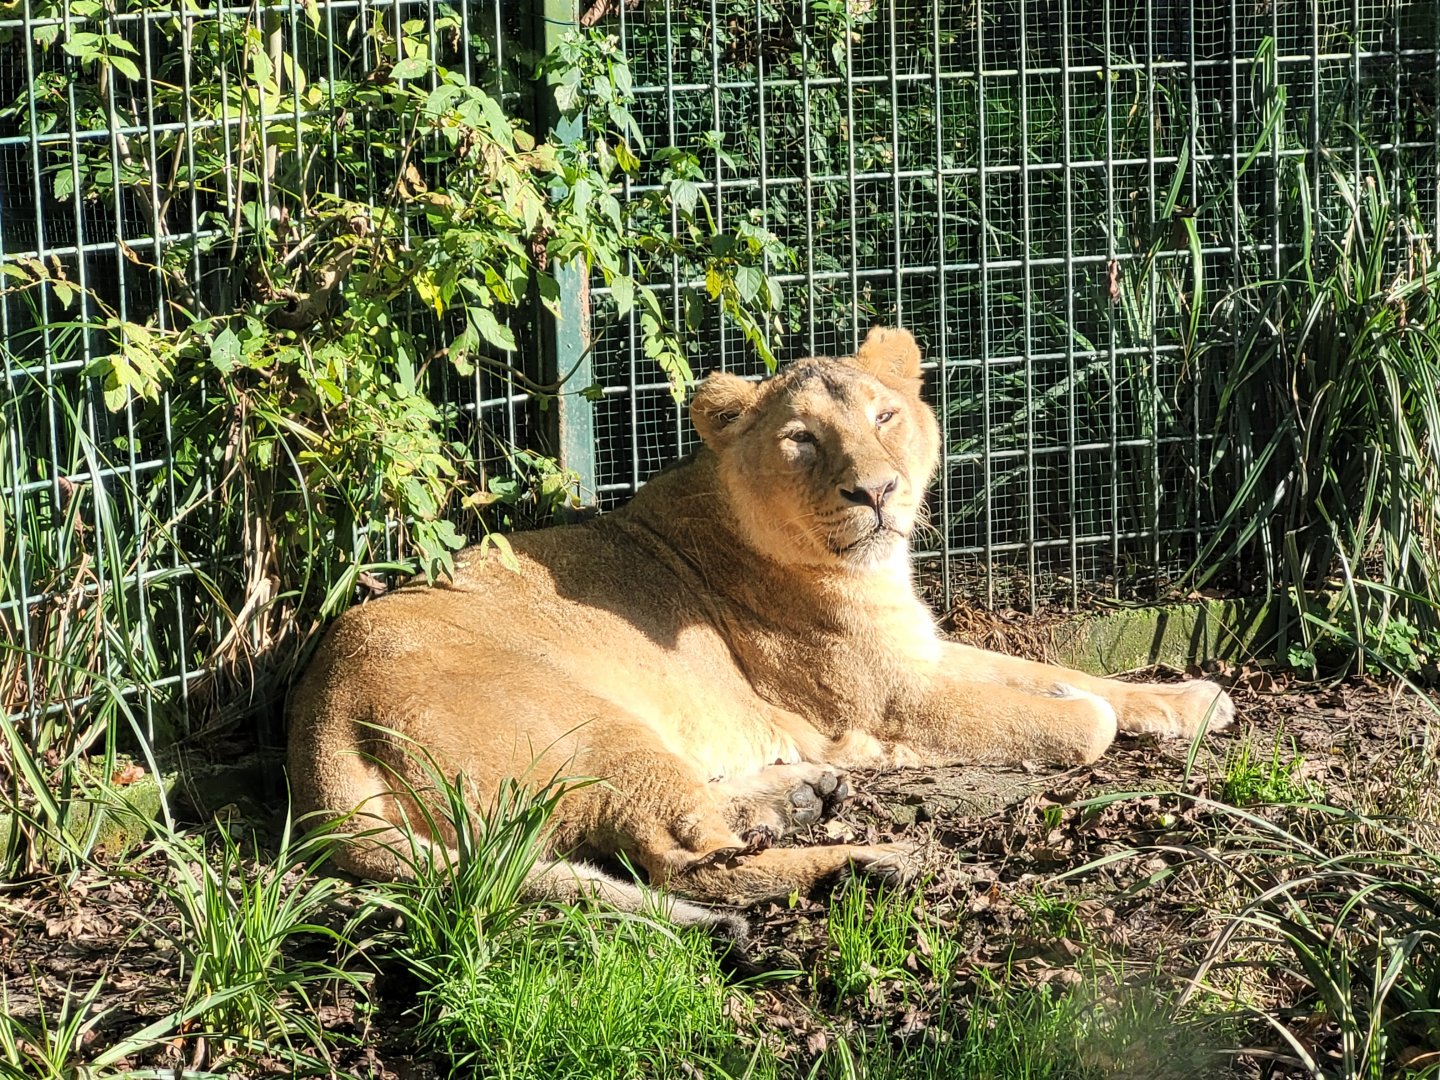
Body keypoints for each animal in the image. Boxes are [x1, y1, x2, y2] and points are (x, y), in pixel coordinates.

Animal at [287, 326, 1233, 935]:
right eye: (802, 440)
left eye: (884, 417)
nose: (877, 492)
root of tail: (316, 723)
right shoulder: (891, 701)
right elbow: (1076, 718)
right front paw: (1091, 712)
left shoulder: (920, 652)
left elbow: (1076, 679)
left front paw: (1193, 702)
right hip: (593, 724)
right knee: (685, 863)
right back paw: (874, 863)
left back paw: (801, 797)